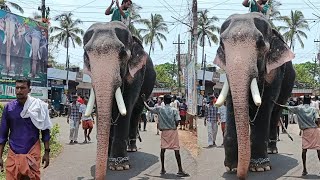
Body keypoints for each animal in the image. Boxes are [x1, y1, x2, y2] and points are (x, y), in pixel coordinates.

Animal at [82, 21, 156, 179]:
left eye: (122, 53)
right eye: (87, 55)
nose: (100, 176)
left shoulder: (136, 73)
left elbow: (126, 105)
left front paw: (120, 166)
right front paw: (108, 158)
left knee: (136, 112)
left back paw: (132, 148)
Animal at [211, 11, 296, 179]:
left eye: (260, 43)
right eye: (222, 44)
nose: (241, 175)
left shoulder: (275, 73)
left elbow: (264, 106)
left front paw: (260, 168)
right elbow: (231, 104)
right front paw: (232, 167)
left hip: (288, 86)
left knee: (275, 114)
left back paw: (271, 150)